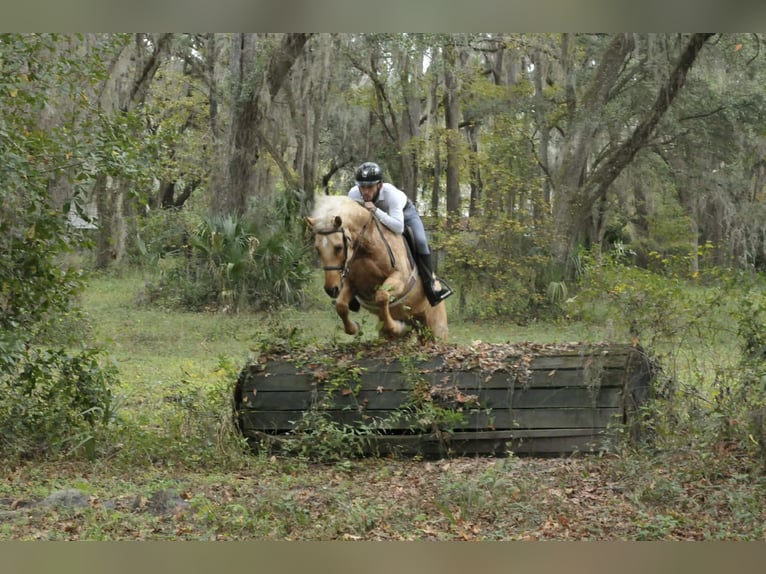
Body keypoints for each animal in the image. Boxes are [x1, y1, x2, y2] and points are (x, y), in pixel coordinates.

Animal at [306, 195, 448, 342]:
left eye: (338, 247)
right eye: (317, 249)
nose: (331, 289)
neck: (365, 249)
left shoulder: (400, 278)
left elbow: (381, 296)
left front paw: (396, 327)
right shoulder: (351, 283)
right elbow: (341, 305)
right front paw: (354, 328)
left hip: (436, 328)